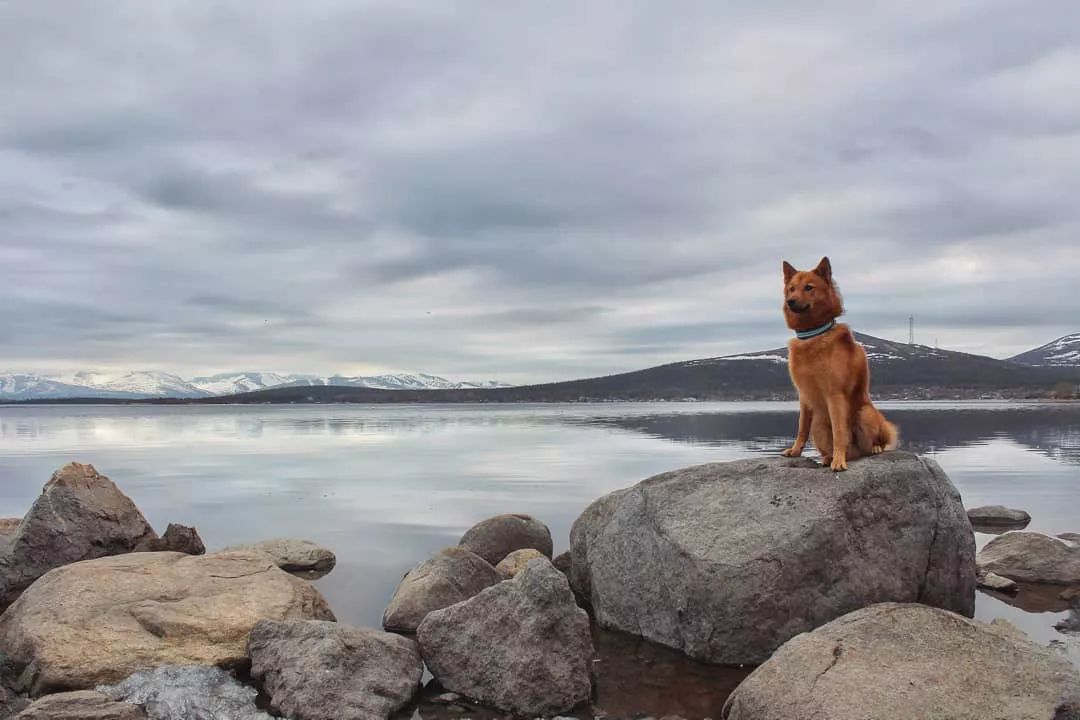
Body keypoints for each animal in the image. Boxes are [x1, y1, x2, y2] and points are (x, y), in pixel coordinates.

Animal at [781, 255, 898, 470]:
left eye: (809, 287)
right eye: (791, 288)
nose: (790, 301)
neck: (813, 335)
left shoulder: (834, 394)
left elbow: (839, 432)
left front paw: (838, 460)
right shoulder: (804, 396)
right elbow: (801, 427)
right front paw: (795, 451)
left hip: (865, 412)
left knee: (874, 443)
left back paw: (872, 448)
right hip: (818, 424)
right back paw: (828, 457)